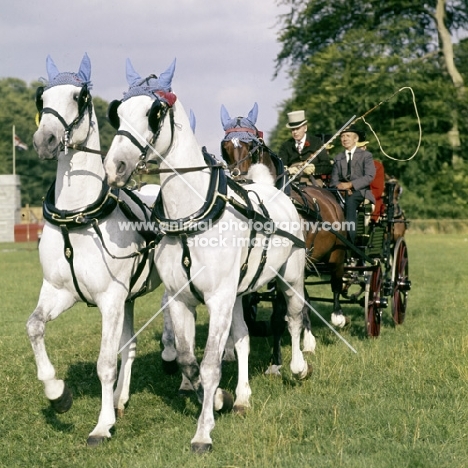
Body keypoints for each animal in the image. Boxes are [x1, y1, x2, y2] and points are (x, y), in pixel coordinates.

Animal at [27, 54, 164, 446]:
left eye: (80, 96)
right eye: (42, 98)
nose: (45, 139)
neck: (77, 217)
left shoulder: (109, 300)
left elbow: (105, 362)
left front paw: (102, 426)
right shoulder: (60, 292)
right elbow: (34, 327)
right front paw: (57, 394)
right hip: (129, 299)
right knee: (129, 346)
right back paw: (120, 399)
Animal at [104, 56, 312, 452]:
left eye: (155, 113)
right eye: (117, 112)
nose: (115, 166)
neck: (191, 215)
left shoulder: (217, 299)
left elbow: (212, 363)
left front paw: (203, 433)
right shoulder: (183, 298)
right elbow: (189, 359)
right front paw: (217, 398)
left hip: (290, 278)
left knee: (293, 319)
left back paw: (296, 366)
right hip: (239, 293)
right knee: (243, 338)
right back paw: (243, 397)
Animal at [220, 103, 348, 332]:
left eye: (250, 146)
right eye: (225, 147)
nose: (239, 179)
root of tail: (330, 197)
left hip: (337, 253)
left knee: (336, 280)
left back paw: (337, 316)